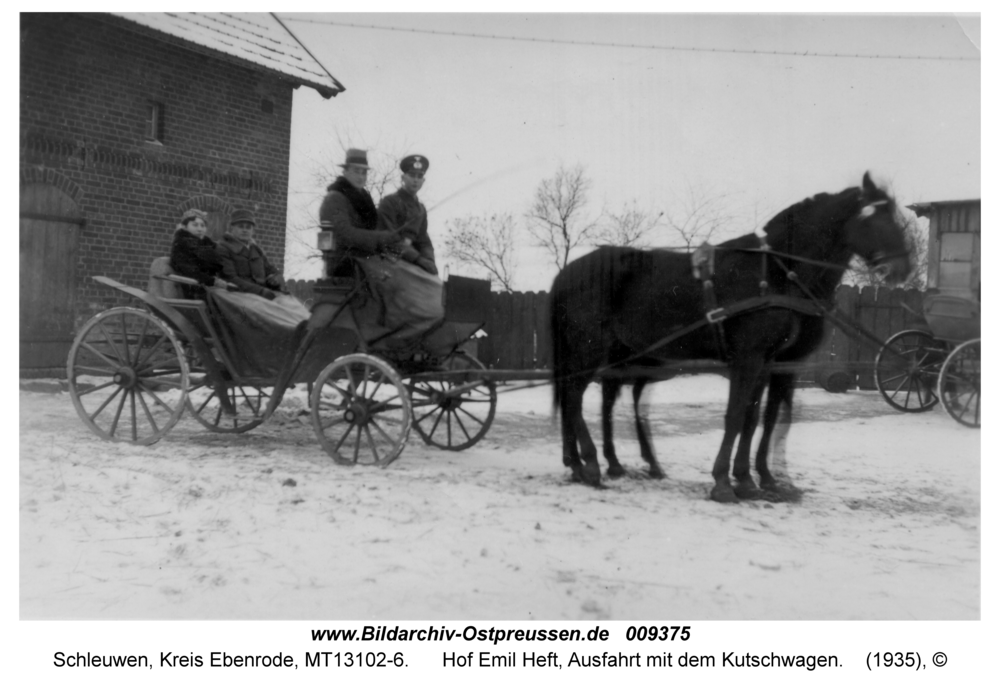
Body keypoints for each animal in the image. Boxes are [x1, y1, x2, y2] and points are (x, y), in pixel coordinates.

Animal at [552, 171, 912, 502]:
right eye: (875, 216)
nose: (903, 270)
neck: (777, 273)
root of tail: (570, 272)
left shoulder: (770, 362)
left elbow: (757, 417)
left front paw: (753, 478)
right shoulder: (748, 358)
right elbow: (737, 414)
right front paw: (725, 482)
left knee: (590, 398)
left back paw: (585, 463)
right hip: (589, 349)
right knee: (574, 396)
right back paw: (591, 464)